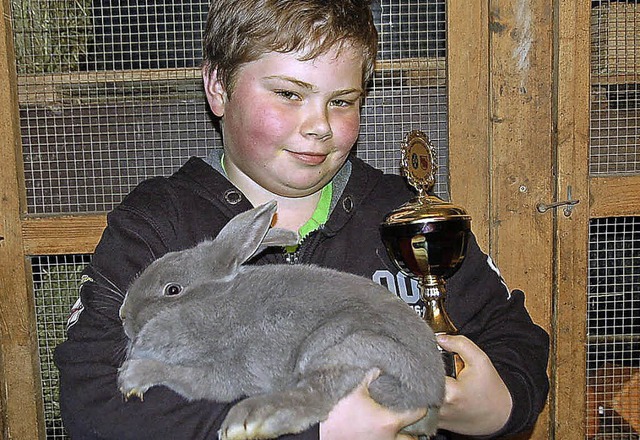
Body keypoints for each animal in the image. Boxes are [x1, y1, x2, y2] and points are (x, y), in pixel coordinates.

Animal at [117, 200, 444, 440]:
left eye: (172, 290)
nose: (122, 315)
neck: (214, 301)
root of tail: (432, 390)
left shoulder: (224, 368)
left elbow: (182, 379)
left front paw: (132, 377)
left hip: (341, 344)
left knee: (314, 397)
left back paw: (250, 420)